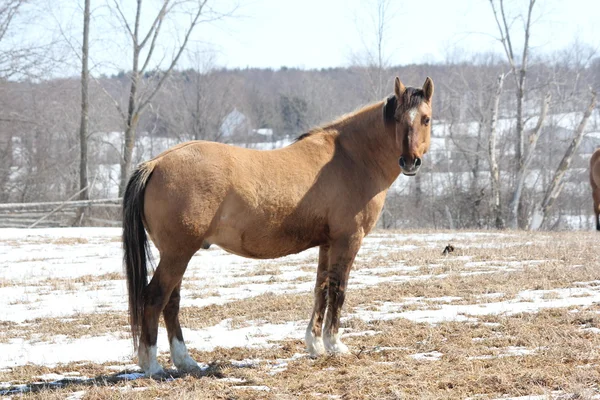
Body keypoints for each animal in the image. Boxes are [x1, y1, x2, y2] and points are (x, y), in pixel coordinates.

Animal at [122, 75, 434, 376]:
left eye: (426, 118)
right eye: (398, 118)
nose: (410, 162)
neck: (351, 158)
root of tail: (155, 163)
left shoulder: (327, 243)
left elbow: (321, 289)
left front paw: (315, 345)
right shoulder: (348, 240)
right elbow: (338, 290)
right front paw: (335, 345)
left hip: (176, 254)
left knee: (171, 302)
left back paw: (186, 362)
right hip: (178, 254)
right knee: (154, 298)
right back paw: (152, 365)